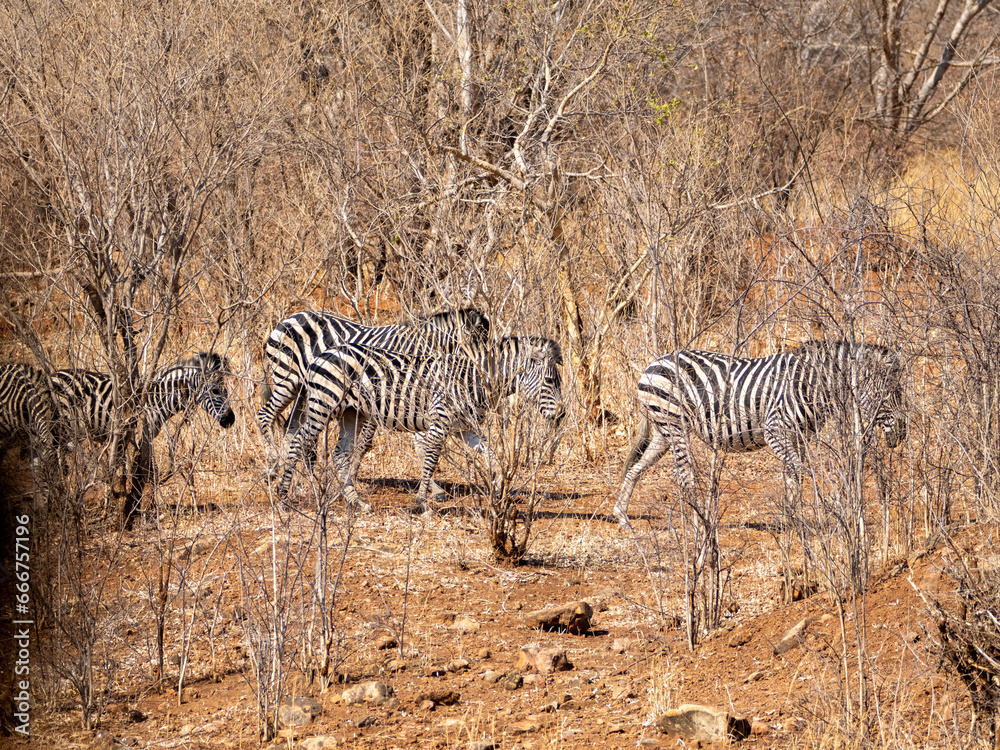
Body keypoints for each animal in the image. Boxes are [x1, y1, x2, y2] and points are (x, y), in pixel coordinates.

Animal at [276, 336, 563, 513]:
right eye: (550, 381)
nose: (561, 414)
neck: (472, 379)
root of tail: (321, 354)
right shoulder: (439, 423)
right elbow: (431, 460)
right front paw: (422, 503)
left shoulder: (465, 429)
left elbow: (491, 454)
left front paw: (500, 488)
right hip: (322, 405)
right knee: (298, 441)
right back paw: (282, 496)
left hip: (352, 413)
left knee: (340, 453)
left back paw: (356, 502)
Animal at [614, 340, 907, 527]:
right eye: (888, 395)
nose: (903, 434)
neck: (812, 385)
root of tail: (652, 364)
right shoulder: (774, 431)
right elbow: (799, 471)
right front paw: (798, 518)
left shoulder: (799, 437)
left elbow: (793, 476)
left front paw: (792, 519)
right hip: (673, 424)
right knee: (683, 477)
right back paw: (699, 524)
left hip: (663, 429)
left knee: (636, 468)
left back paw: (622, 516)